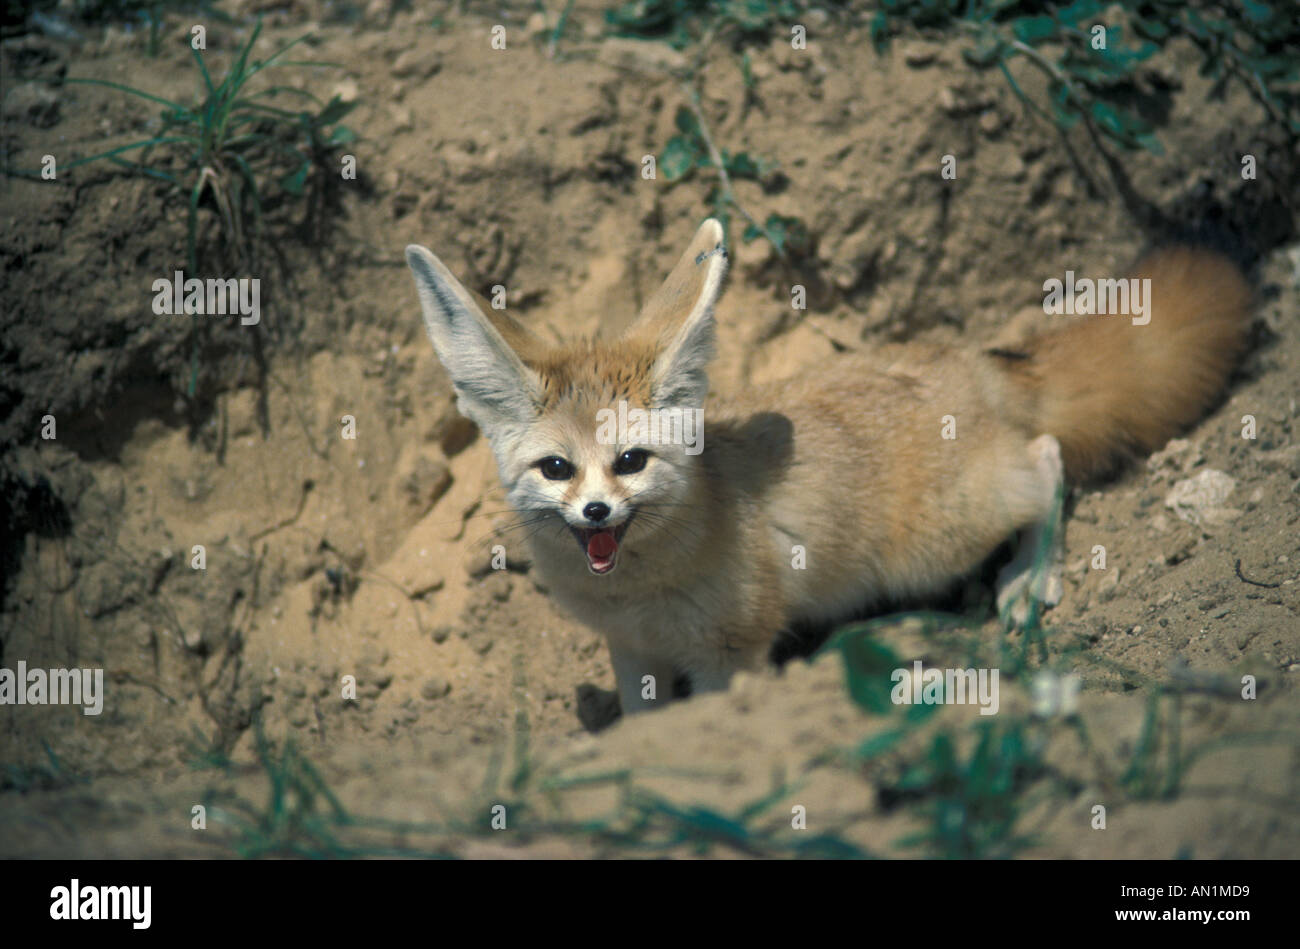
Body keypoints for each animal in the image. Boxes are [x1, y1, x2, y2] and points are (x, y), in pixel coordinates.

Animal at [403, 218, 1248, 712]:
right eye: (556, 468)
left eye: (630, 461)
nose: (597, 512)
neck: (636, 590)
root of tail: (970, 362)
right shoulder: (632, 650)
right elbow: (645, 717)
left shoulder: (732, 653)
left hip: (938, 542)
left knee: (1044, 460)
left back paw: (1028, 576)